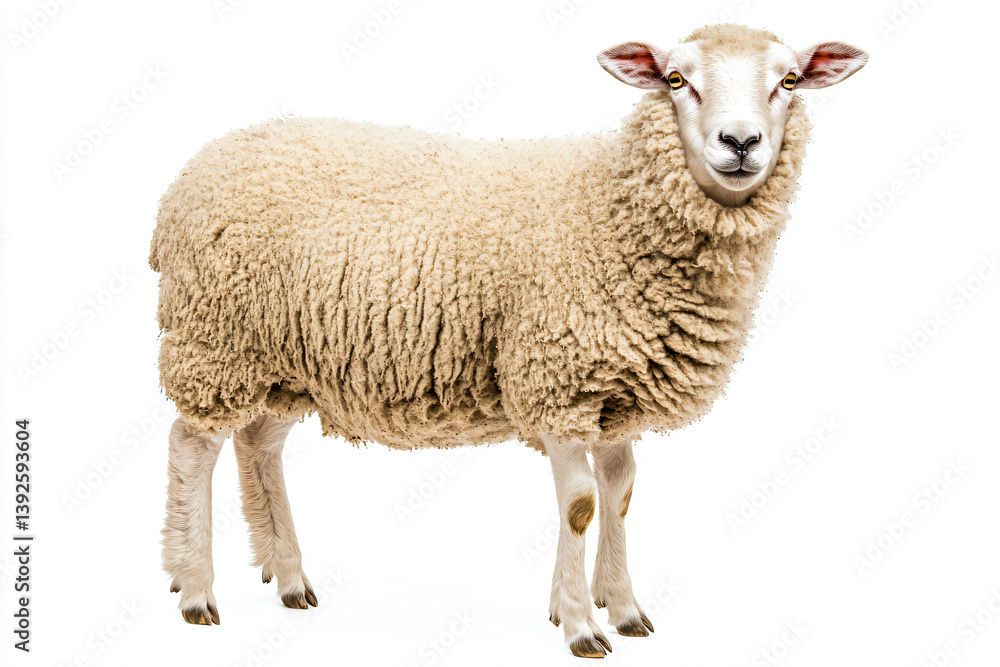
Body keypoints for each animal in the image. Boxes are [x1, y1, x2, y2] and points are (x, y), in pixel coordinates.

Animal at [152, 24, 868, 657]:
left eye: (789, 80)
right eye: (676, 79)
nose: (740, 141)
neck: (613, 208)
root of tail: (197, 168)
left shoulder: (613, 394)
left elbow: (621, 494)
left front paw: (622, 607)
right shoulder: (558, 381)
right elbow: (580, 505)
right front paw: (580, 626)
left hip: (283, 360)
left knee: (258, 444)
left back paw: (289, 577)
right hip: (215, 342)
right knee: (192, 446)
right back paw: (196, 590)